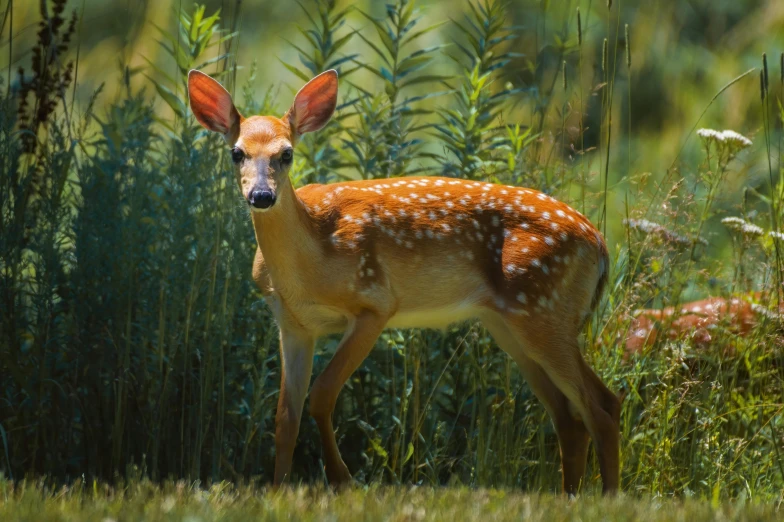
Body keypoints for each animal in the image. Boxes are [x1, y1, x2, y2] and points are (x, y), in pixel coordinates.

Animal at [187, 68, 620, 492]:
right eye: (237, 152)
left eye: (286, 153)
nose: (261, 195)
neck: (310, 265)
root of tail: (600, 244)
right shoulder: (293, 325)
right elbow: (284, 418)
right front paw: (280, 490)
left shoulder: (375, 303)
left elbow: (321, 396)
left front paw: (342, 478)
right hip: (510, 323)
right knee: (568, 416)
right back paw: (570, 495)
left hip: (544, 311)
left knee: (602, 405)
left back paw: (607, 496)